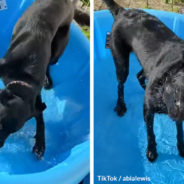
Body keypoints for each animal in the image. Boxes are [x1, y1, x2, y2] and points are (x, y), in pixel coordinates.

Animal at [0, 0, 81, 159]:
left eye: (12, 132)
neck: (21, 80)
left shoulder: (35, 97)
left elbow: (41, 119)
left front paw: (40, 144)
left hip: (58, 46)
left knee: (51, 61)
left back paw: (47, 80)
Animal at [103, 0, 184, 161]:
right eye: (177, 90)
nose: (175, 115)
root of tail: (123, 11)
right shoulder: (148, 109)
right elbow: (150, 132)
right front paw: (151, 151)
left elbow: (180, 131)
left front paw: (182, 148)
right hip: (121, 62)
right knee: (120, 85)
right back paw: (120, 106)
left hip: (146, 65)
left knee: (139, 75)